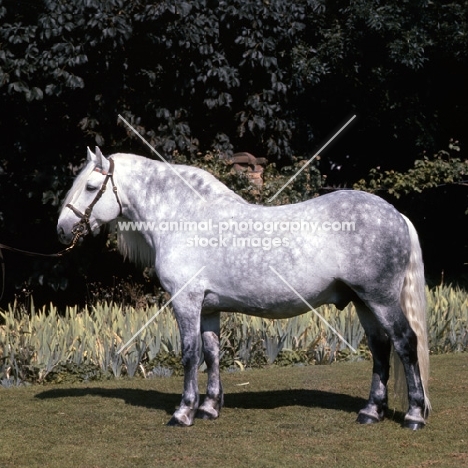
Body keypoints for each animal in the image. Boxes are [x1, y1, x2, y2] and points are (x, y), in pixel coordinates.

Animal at [57, 148, 432, 430]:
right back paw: (370, 412)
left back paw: (414, 415)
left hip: (380, 299)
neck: (185, 216)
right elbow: (212, 352)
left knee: (404, 342)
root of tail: (396, 215)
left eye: (91, 186)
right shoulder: (209, 307)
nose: (62, 229)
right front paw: (209, 407)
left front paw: (184, 412)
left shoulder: (187, 302)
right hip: (363, 302)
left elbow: (190, 354)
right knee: (380, 348)